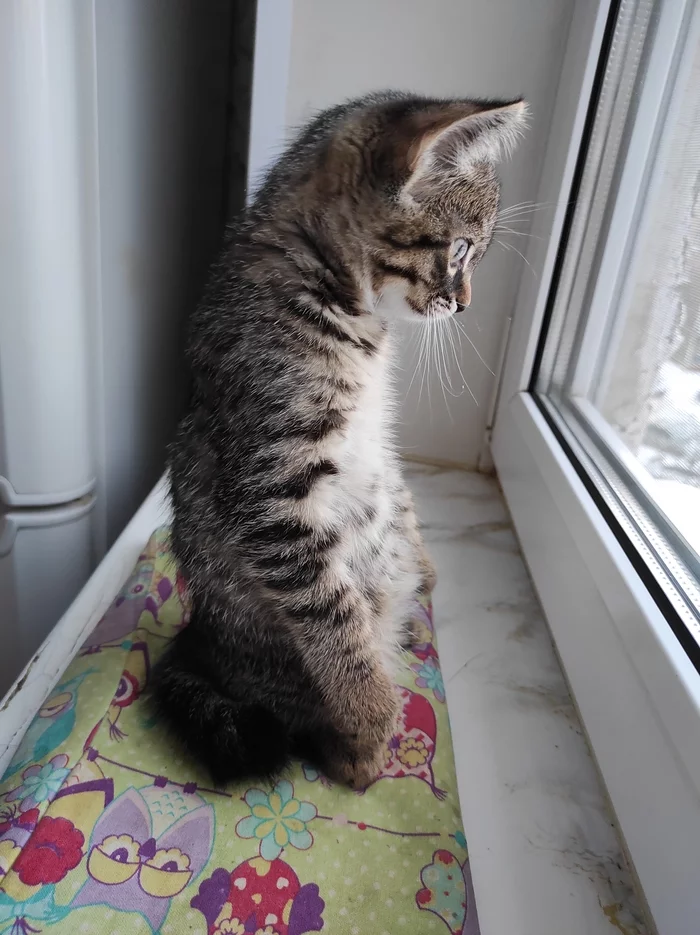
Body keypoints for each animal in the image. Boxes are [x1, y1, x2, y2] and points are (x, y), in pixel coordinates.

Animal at [153, 89, 524, 788]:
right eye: (461, 249)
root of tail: (202, 641)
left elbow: (399, 493)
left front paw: (425, 564)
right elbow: (334, 619)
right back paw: (356, 748)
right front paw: (373, 713)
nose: (464, 303)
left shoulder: (379, 444)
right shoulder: (274, 494)